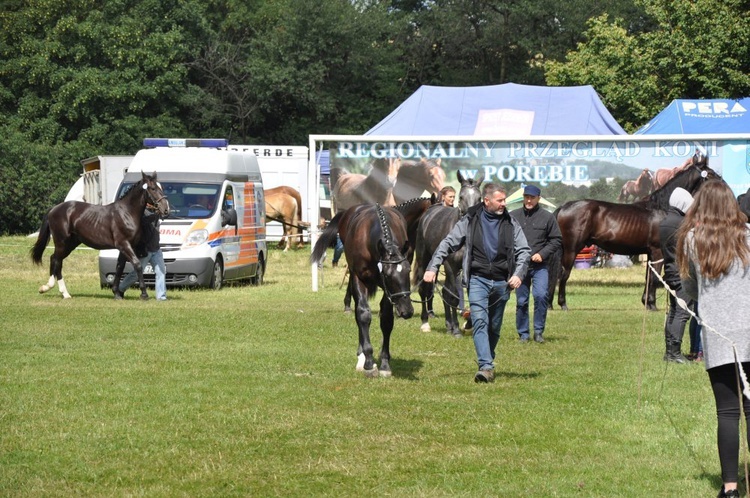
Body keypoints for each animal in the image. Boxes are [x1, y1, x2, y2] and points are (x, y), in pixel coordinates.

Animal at [31, 173, 170, 298]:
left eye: (161, 188)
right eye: (153, 188)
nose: (166, 209)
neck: (126, 213)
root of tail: (54, 209)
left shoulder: (124, 248)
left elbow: (119, 267)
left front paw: (116, 293)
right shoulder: (124, 244)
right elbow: (137, 264)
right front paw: (144, 294)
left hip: (71, 244)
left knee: (54, 259)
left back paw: (54, 290)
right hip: (62, 242)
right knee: (56, 261)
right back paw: (58, 291)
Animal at [312, 202, 418, 378]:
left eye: (408, 270)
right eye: (387, 274)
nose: (407, 310)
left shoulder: (388, 292)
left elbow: (386, 319)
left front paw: (384, 364)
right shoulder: (358, 278)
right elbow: (363, 314)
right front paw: (368, 361)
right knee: (358, 312)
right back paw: (361, 355)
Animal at [412, 172, 482, 338]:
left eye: (479, 198)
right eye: (461, 197)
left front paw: (467, 323)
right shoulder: (451, 266)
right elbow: (454, 296)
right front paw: (456, 329)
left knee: (444, 291)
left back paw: (448, 324)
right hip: (425, 261)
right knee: (425, 289)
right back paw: (425, 323)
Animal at [556, 151, 720, 312]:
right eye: (711, 173)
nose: (722, 183)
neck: (661, 207)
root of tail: (564, 207)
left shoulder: (650, 254)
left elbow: (649, 277)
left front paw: (646, 302)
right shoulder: (657, 252)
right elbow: (654, 278)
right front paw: (652, 305)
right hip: (571, 249)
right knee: (564, 274)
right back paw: (563, 304)